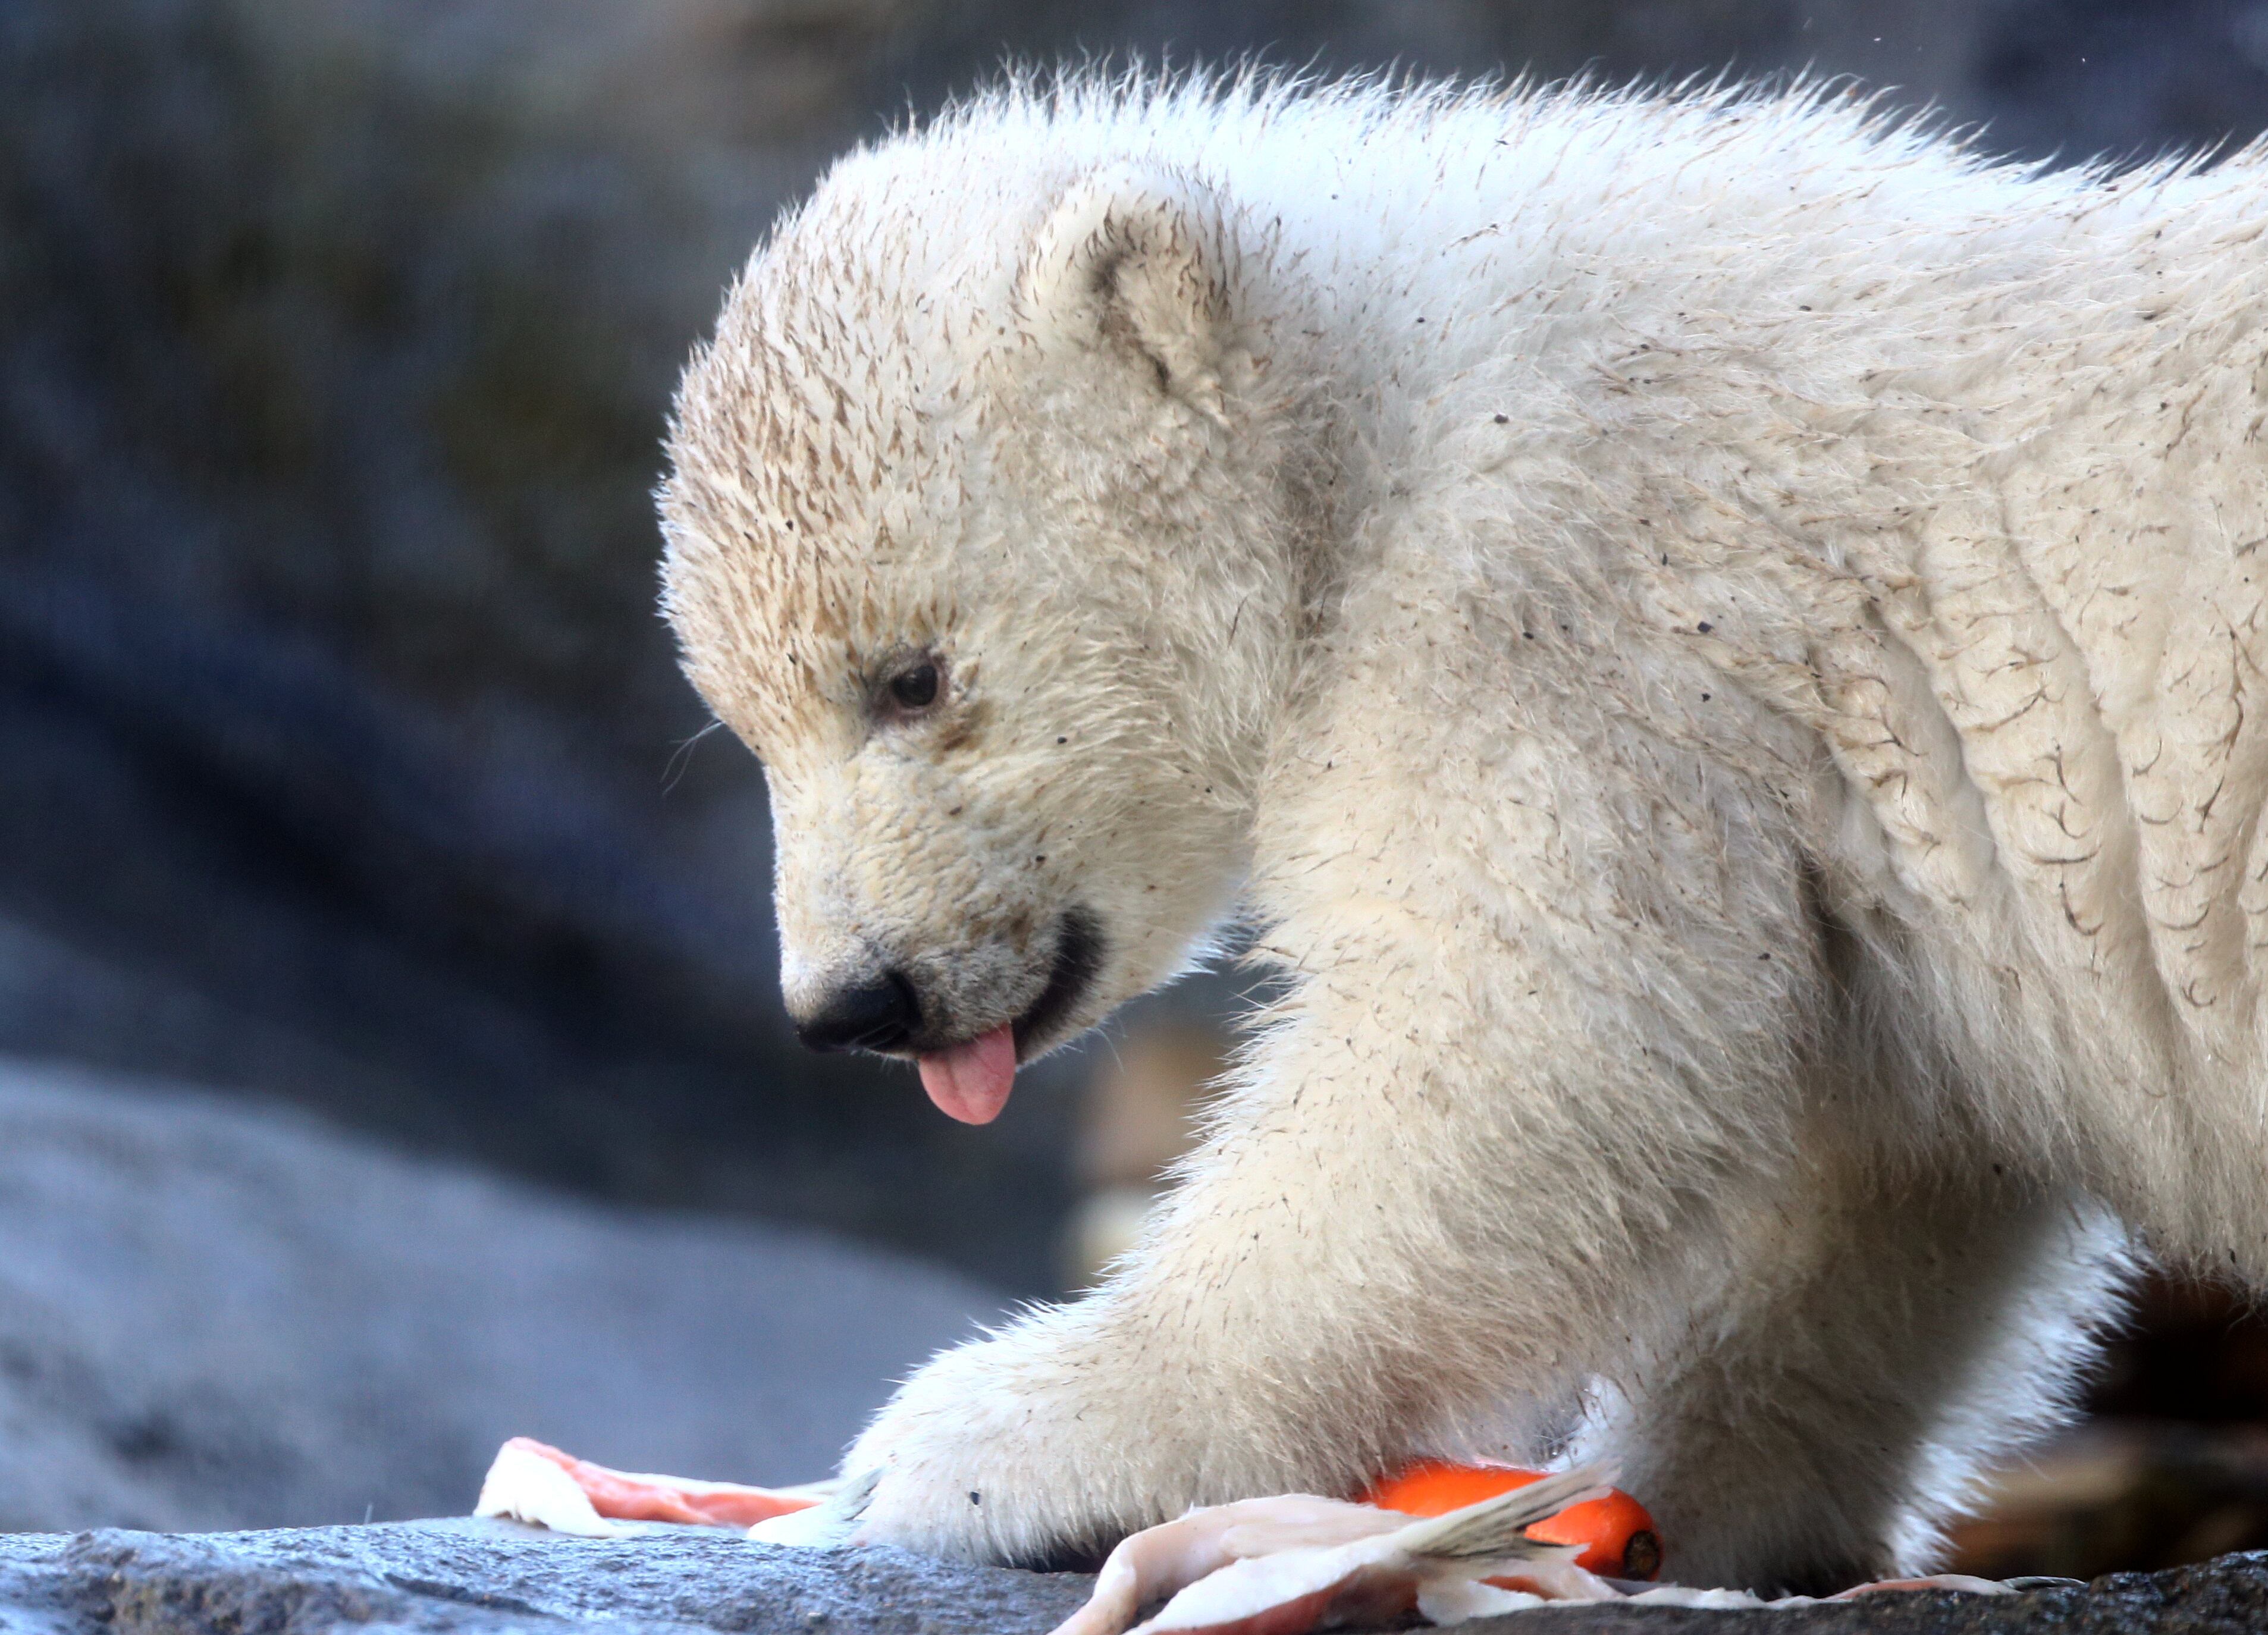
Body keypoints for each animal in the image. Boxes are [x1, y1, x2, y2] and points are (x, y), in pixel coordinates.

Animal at [654, 71, 2268, 1592]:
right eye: (742, 726)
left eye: (908, 677)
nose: (852, 1000)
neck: (1377, 389)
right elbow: (1872, 1175)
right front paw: (1672, 1502)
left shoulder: (1551, 605)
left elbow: (1513, 1039)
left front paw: (980, 1442)